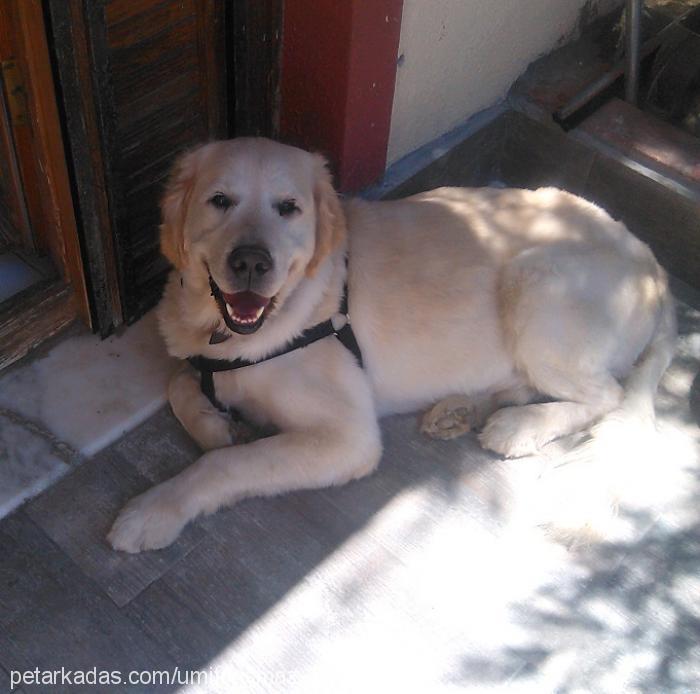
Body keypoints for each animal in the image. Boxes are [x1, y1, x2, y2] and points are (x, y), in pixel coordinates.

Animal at [106, 139, 676, 556]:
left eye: (288, 208)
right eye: (219, 201)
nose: (250, 262)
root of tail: (656, 266)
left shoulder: (349, 436)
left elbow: (226, 464)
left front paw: (154, 510)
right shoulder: (205, 361)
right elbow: (179, 382)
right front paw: (215, 426)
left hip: (538, 283)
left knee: (607, 396)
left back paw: (521, 426)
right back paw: (461, 409)